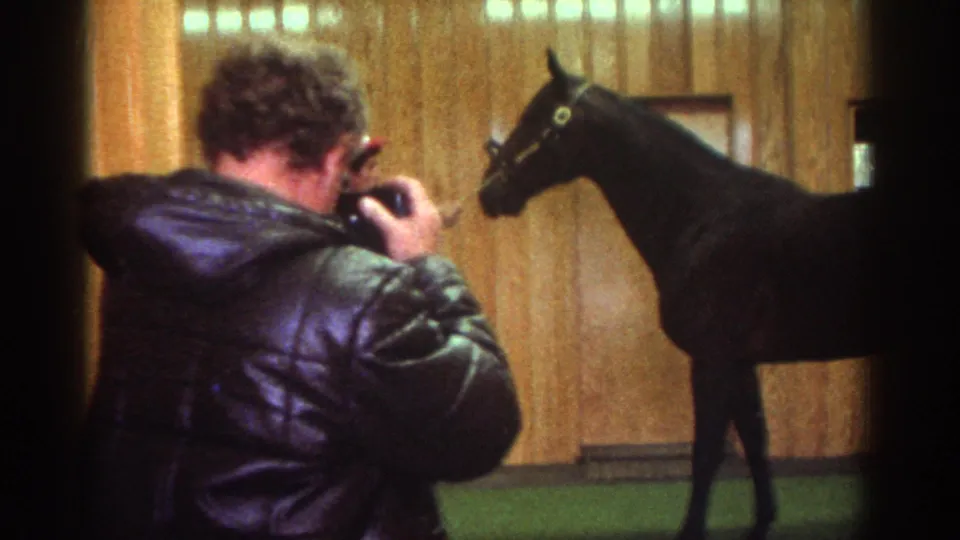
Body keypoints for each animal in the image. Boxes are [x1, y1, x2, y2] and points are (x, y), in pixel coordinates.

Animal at [476, 49, 881, 540]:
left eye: (538, 117)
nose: (488, 191)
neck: (704, 218)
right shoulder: (738, 363)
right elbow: (755, 440)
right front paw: (761, 522)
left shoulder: (712, 361)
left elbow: (707, 453)